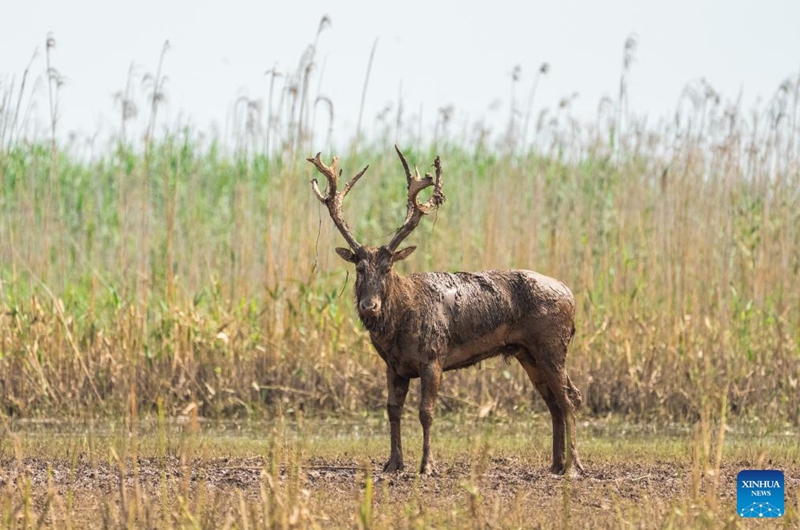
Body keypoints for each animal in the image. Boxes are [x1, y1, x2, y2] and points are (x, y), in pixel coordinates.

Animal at [307, 147, 584, 475]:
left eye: (388, 268)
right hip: (527, 353)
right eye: (360, 268)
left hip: (552, 346)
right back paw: (555, 464)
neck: (401, 322)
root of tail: (572, 297)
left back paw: (573, 467)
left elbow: (426, 412)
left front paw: (427, 465)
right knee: (554, 402)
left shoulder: (433, 358)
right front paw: (393, 463)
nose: (369, 306)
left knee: (570, 399)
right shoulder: (393, 366)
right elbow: (392, 411)